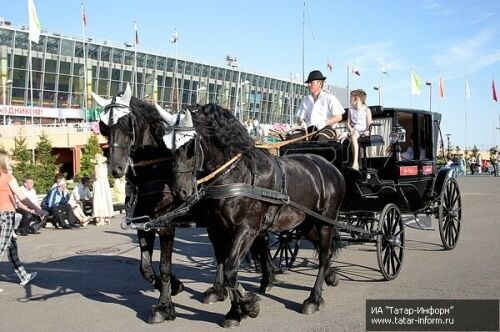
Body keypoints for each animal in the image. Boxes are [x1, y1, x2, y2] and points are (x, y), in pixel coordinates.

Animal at [170, 105, 346, 328]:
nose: (180, 191)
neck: (237, 174)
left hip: (325, 221)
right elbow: (223, 263)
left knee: (323, 255)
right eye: (169, 144)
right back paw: (331, 278)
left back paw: (313, 299)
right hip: (306, 223)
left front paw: (247, 306)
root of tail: (330, 167)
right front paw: (231, 306)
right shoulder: (217, 227)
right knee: (325, 250)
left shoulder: (247, 229)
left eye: (190, 145)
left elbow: (231, 268)